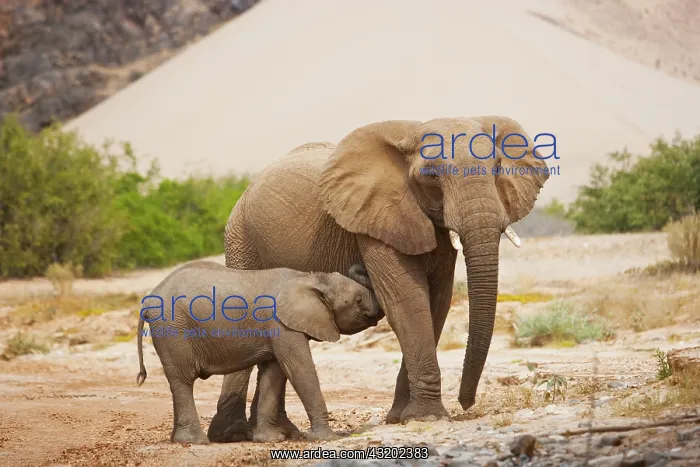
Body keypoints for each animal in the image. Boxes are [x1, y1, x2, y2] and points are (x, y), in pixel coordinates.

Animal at [136, 261, 384, 444]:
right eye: (358, 301)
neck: (309, 277)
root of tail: (148, 299)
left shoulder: (276, 330)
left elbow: (273, 373)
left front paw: (270, 440)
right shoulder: (282, 325)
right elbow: (299, 368)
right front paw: (327, 438)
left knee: (178, 381)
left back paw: (177, 440)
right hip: (174, 330)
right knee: (183, 380)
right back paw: (194, 442)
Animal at [207, 116, 550, 442]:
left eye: (496, 169)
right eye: (430, 175)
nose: (467, 404)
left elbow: (436, 302)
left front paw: (401, 418)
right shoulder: (374, 216)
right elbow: (407, 300)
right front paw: (427, 417)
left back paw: (281, 432)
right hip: (240, 238)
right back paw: (231, 435)